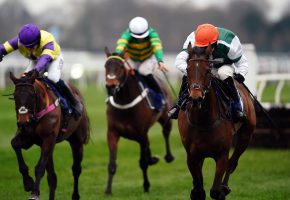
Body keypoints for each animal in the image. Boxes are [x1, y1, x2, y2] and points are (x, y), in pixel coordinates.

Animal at [9, 70, 89, 200]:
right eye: (15, 96)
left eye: (32, 95)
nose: (23, 121)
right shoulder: (28, 137)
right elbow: (15, 144)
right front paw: (28, 183)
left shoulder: (49, 138)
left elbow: (40, 168)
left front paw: (34, 193)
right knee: (52, 178)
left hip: (77, 141)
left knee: (76, 169)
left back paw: (75, 195)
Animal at [104, 47, 174, 195]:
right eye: (106, 66)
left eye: (120, 67)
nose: (110, 86)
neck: (125, 104)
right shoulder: (112, 133)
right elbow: (112, 163)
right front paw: (108, 190)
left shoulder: (141, 133)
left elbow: (142, 162)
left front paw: (146, 185)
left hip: (165, 117)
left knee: (166, 132)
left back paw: (168, 156)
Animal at [179, 43, 256, 199]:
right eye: (187, 69)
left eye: (208, 70)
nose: (195, 98)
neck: (203, 121)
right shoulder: (192, 155)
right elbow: (199, 190)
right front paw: (195, 189)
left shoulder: (222, 154)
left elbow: (215, 190)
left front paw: (221, 190)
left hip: (246, 135)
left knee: (233, 162)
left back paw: (225, 186)